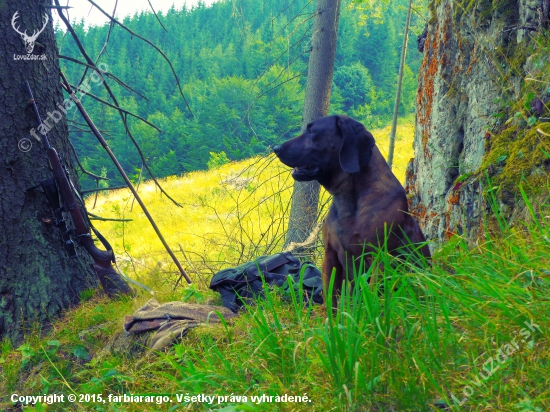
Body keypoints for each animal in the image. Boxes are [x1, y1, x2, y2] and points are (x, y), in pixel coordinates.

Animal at [274, 115, 434, 300]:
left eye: (312, 131)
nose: (276, 148)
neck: (348, 199)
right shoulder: (330, 255)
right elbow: (330, 298)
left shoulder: (379, 256)